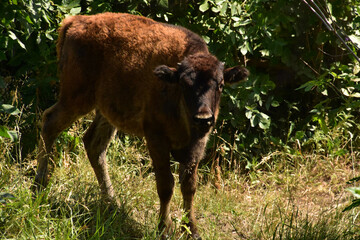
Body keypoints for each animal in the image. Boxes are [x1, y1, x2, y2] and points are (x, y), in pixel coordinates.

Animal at [33, 12, 248, 238]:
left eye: (221, 85)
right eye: (184, 84)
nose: (203, 118)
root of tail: (75, 21)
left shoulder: (196, 146)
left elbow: (189, 186)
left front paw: (192, 231)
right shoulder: (156, 139)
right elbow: (166, 185)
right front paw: (164, 229)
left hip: (105, 110)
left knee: (93, 144)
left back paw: (112, 203)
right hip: (76, 99)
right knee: (50, 123)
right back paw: (39, 187)